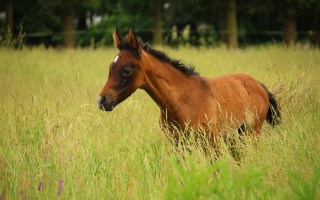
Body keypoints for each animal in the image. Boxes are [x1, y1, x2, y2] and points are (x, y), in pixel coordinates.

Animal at [97, 28, 280, 155]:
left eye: (126, 70)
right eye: (110, 67)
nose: (102, 100)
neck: (182, 101)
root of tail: (259, 85)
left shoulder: (211, 141)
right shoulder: (178, 144)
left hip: (252, 132)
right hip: (236, 136)